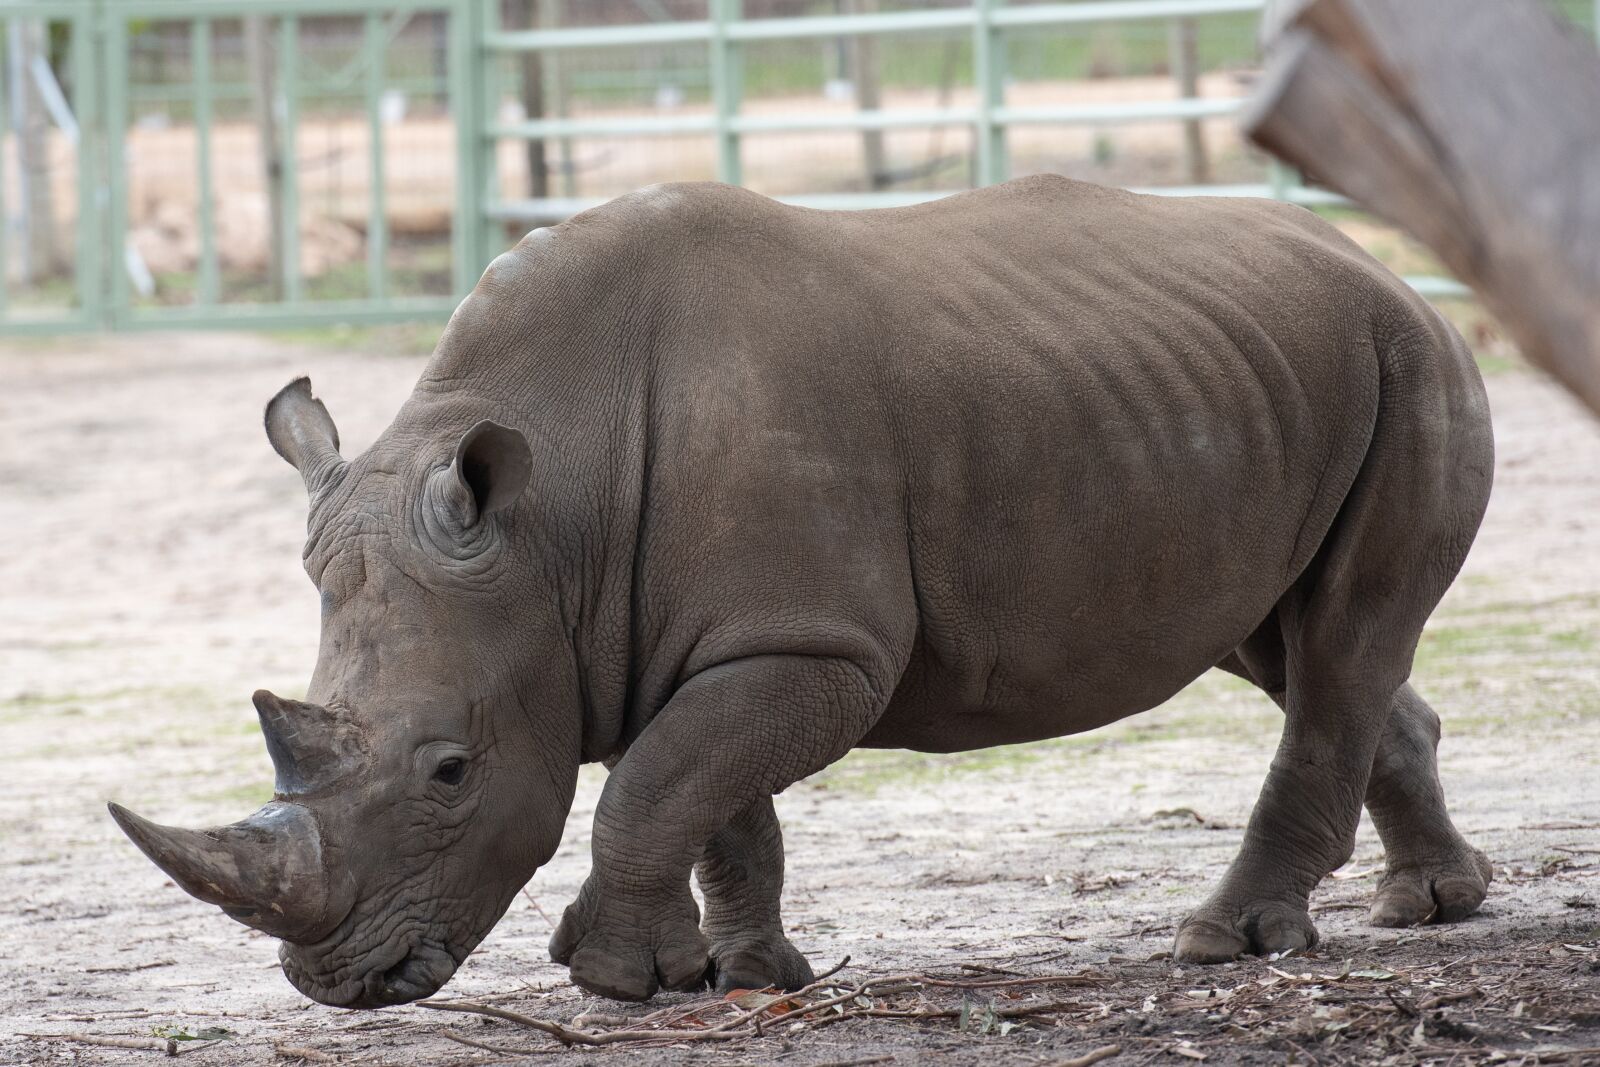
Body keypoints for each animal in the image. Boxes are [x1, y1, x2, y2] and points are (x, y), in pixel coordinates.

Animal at [110, 175, 1495, 1008]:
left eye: (449, 771)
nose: (335, 980)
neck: (551, 517)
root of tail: (1388, 264)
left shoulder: (814, 644)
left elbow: (659, 783)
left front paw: (611, 978)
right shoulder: (708, 636)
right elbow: (711, 795)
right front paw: (737, 972)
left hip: (1409, 361)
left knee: (1339, 642)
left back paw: (1226, 941)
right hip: (1256, 380)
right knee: (1295, 643)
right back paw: (1431, 904)